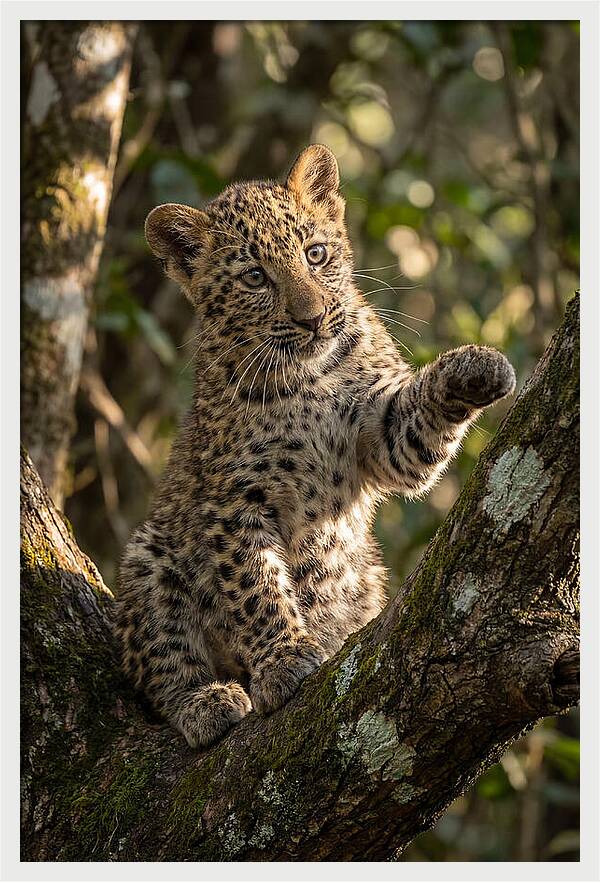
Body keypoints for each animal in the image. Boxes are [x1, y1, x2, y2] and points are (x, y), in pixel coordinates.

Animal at [115, 144, 516, 748]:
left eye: (316, 253)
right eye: (256, 277)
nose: (312, 318)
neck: (310, 379)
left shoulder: (381, 436)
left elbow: (414, 426)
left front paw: (476, 366)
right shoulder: (235, 500)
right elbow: (255, 585)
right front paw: (283, 660)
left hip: (367, 577)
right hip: (150, 556)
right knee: (160, 666)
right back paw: (206, 702)